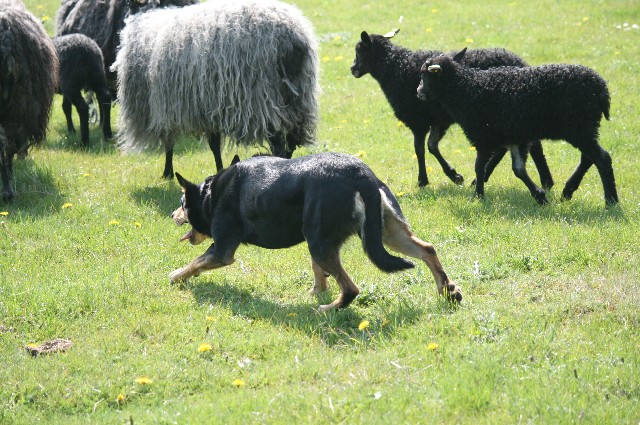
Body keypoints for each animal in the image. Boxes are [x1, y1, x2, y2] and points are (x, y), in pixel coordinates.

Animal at [170, 153, 460, 312]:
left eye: (182, 203)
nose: (172, 215)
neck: (210, 195)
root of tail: (361, 175)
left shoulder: (222, 250)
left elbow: (195, 262)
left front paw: (176, 277)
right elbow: (318, 274)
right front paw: (316, 290)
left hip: (320, 242)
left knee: (351, 289)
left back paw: (326, 310)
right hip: (384, 232)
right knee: (427, 249)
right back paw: (448, 290)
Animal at [352, 30, 552, 189]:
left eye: (359, 51)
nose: (352, 68)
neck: (393, 68)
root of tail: (521, 63)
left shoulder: (418, 121)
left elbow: (420, 149)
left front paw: (423, 180)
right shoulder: (438, 120)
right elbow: (432, 146)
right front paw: (454, 176)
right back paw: (543, 182)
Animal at [418, 48, 616, 207]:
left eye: (425, 76)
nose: (418, 92)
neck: (464, 90)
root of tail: (601, 89)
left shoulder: (484, 137)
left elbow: (479, 166)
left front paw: (478, 196)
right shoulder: (514, 137)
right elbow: (518, 169)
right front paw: (540, 196)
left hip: (579, 127)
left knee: (602, 158)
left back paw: (611, 201)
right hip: (584, 128)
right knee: (589, 157)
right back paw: (568, 191)